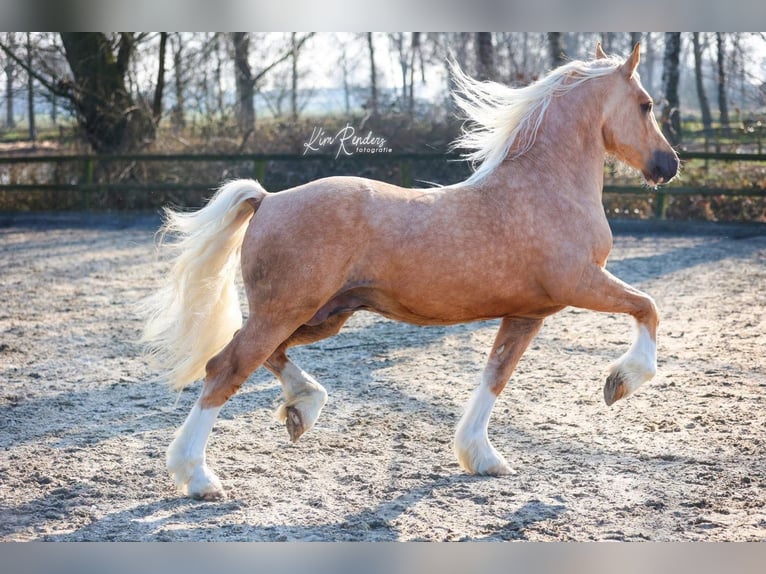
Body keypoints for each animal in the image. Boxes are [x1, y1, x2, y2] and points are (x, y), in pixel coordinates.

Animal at [140, 43, 678, 500]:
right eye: (647, 104)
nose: (668, 165)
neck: (545, 188)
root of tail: (267, 198)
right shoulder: (581, 284)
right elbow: (648, 308)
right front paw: (619, 382)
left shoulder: (527, 313)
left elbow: (495, 376)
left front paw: (482, 458)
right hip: (287, 311)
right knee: (227, 367)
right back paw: (198, 477)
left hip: (320, 315)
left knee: (256, 353)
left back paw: (302, 407)